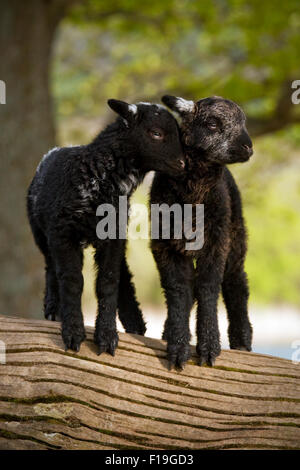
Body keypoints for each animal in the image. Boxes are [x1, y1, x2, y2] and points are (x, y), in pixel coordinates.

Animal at [27, 101, 184, 354]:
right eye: (156, 133)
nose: (182, 164)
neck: (99, 176)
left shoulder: (114, 237)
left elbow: (108, 281)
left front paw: (107, 336)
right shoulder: (63, 234)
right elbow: (72, 281)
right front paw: (73, 333)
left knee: (123, 274)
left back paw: (135, 323)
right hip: (41, 233)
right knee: (50, 267)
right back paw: (53, 308)